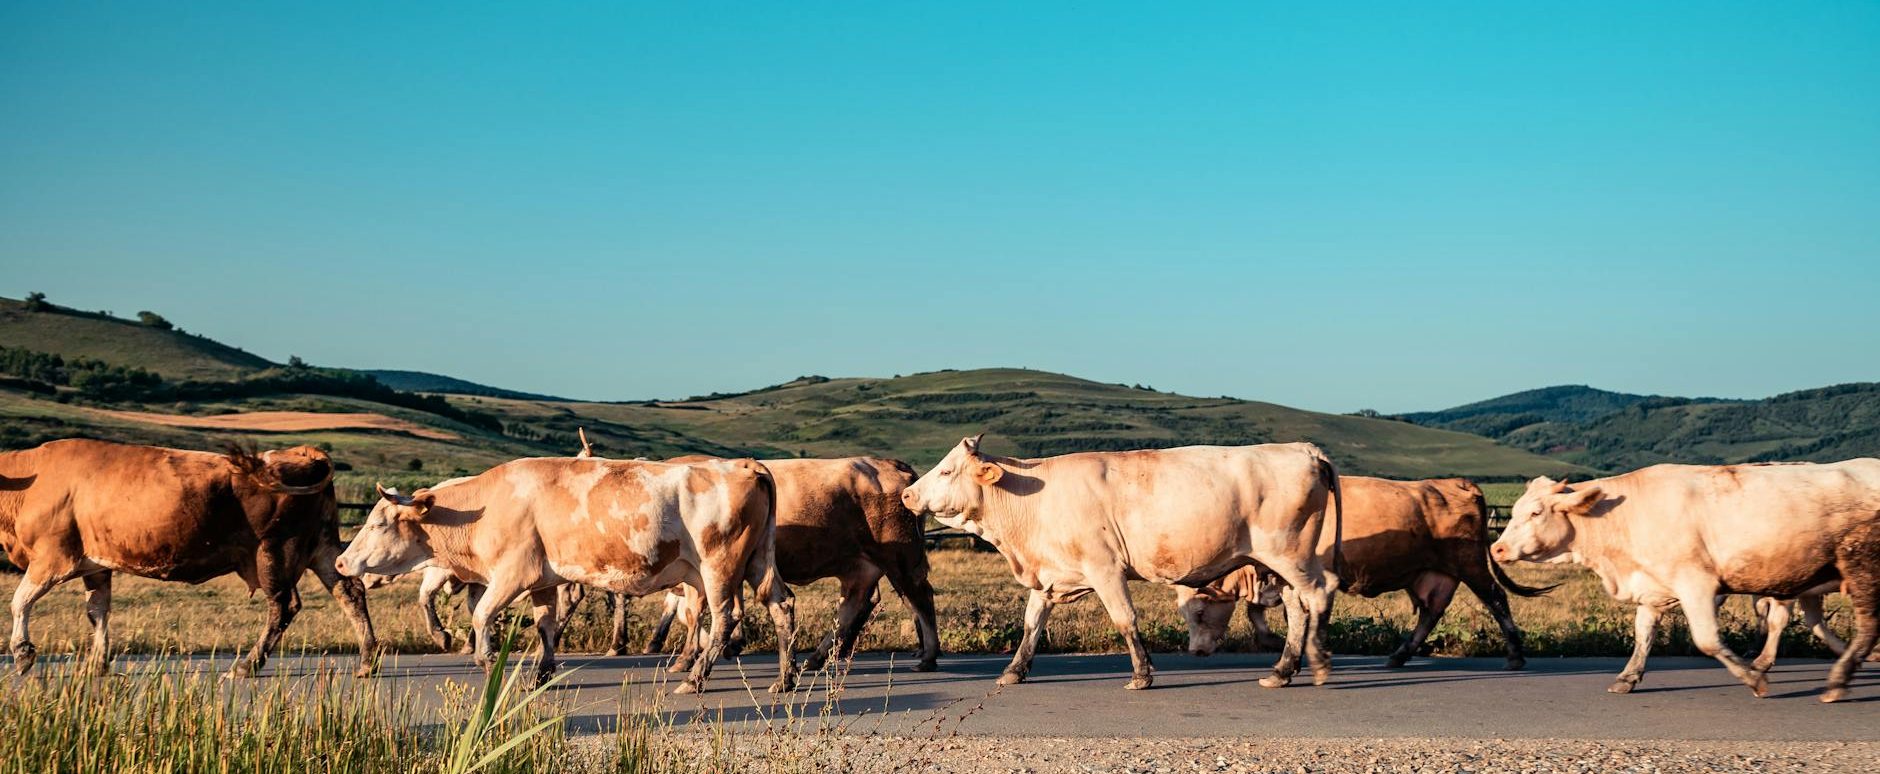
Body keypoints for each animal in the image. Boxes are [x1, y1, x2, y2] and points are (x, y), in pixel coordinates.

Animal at [0, 439, 377, 678]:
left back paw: (247, 665)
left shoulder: (53, 557)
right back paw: (367, 660)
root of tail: (300, 453)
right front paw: (98, 663)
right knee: (350, 592)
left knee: (284, 606)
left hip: (275, 551)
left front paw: (22, 652)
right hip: (323, 546)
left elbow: (20, 602)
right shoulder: (96, 565)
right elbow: (98, 612)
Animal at [333, 456, 795, 694]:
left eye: (378, 522)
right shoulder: (543, 581)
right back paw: (784, 679)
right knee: (782, 605)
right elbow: (545, 626)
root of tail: (746, 465)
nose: (339, 562)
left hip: (718, 568)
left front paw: (489, 663)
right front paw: (541, 672)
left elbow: (482, 616)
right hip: (758, 561)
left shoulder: (511, 575)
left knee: (724, 618)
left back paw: (697, 677)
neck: (484, 506)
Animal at [901, 435, 1341, 690]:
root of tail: (1303, 449)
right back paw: (1282, 671)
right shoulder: (1049, 575)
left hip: (1291, 555)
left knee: (1319, 596)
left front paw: (1142, 674)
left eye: (946, 470)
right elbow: (1031, 624)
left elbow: (1125, 619)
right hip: (1281, 564)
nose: (906, 495)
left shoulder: (1105, 568)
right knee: (1298, 609)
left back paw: (1319, 663)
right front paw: (1014, 670)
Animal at [1176, 476, 1553, 669]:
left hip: (1469, 563)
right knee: (1431, 612)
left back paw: (1515, 655)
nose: (1194, 652)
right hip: (1434, 573)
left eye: (1199, 612)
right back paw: (1400, 655)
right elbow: (1258, 613)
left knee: (1496, 599)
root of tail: (1457, 483)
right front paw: (1277, 643)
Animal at [1490, 461, 1880, 703]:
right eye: (1517, 510)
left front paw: (1753, 679)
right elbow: (1643, 634)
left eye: (1536, 512)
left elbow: (1707, 640)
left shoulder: (1696, 584)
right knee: (1820, 623)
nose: (1497, 548)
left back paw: (1838, 676)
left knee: (1862, 625)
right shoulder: (1653, 587)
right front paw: (1628, 677)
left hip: (1860, 570)